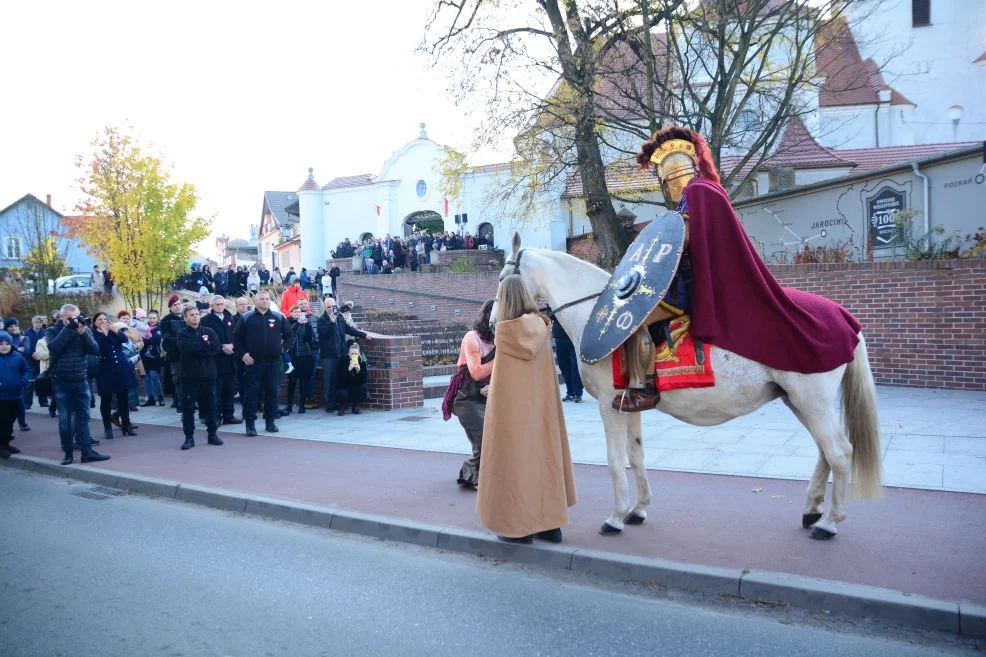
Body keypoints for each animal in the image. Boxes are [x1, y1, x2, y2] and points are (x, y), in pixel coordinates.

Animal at [496, 233, 880, 540]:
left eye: (502, 278)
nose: (491, 322)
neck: (591, 310)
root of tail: (845, 318)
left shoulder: (609, 405)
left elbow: (615, 460)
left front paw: (616, 517)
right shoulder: (628, 404)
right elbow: (635, 455)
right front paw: (638, 509)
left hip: (812, 402)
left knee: (840, 453)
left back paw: (829, 523)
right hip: (798, 402)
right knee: (825, 453)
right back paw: (812, 511)